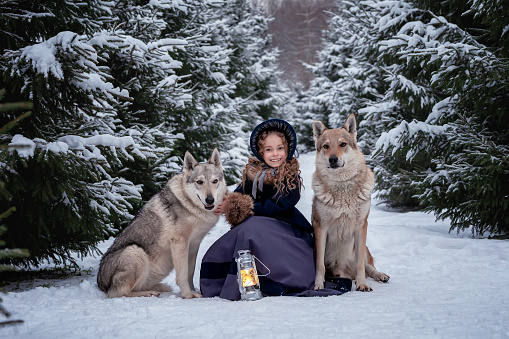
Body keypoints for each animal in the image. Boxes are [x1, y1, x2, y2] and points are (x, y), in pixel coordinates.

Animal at [310, 115, 388, 292]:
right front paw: (318, 285)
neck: (342, 187)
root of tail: (345, 271)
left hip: (364, 248)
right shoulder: (320, 227)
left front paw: (362, 284)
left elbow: (360, 265)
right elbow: (319, 265)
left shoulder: (361, 226)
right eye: (326, 146)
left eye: (343, 144)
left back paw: (381, 276)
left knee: (369, 266)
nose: (333, 159)